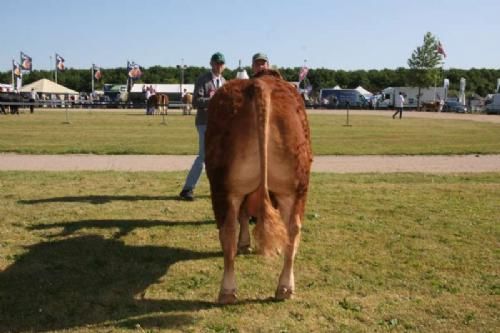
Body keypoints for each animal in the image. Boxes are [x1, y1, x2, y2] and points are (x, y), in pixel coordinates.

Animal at [204, 70, 312, 304]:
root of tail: (261, 84)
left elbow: (244, 216)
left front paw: (245, 244)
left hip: (223, 187)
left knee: (228, 230)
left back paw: (227, 292)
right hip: (296, 187)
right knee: (293, 228)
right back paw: (285, 288)